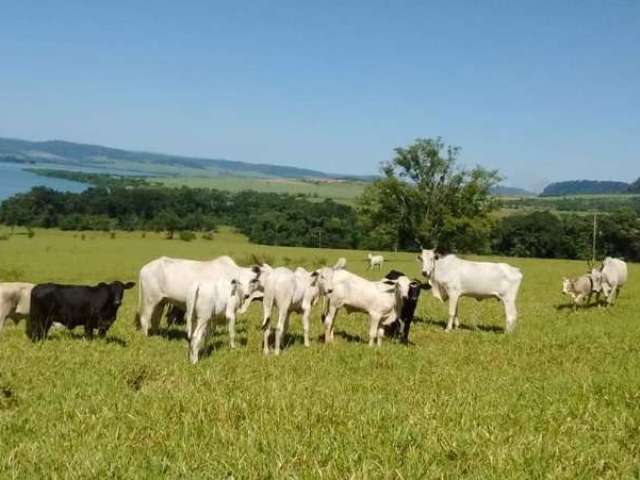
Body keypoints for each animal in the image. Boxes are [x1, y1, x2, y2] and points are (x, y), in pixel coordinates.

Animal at [136, 255, 264, 338]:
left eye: (252, 281)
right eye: (239, 282)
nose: (246, 295)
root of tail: (144, 268)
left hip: (161, 301)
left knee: (155, 319)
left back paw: (157, 335)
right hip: (150, 300)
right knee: (145, 318)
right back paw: (146, 336)